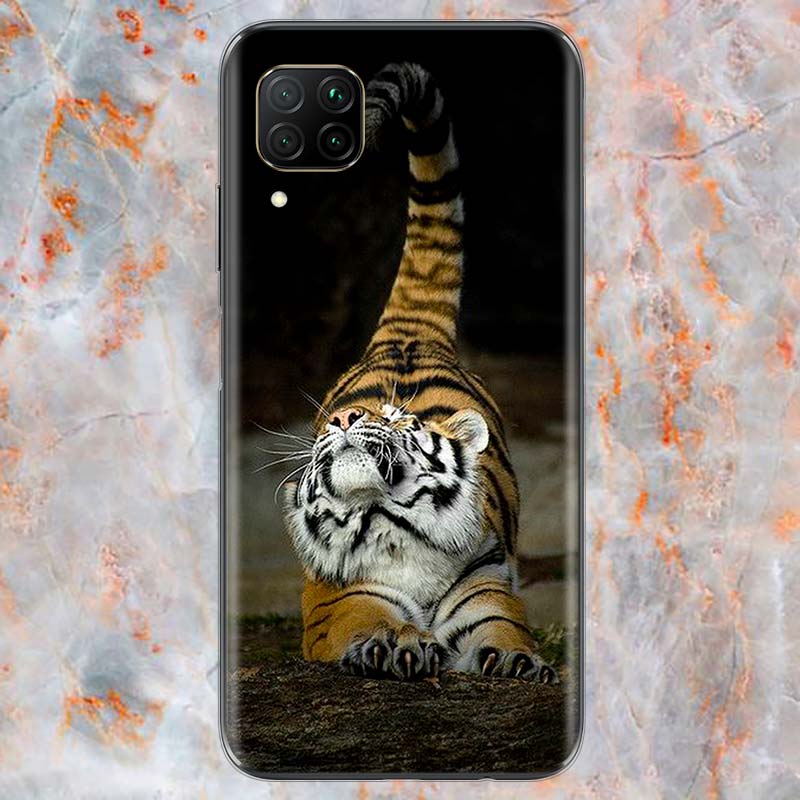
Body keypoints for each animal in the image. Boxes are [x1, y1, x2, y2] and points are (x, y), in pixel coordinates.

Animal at [282, 62, 556, 683]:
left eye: (397, 419)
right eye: (338, 421)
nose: (345, 420)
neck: (395, 529)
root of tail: (410, 336)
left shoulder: (487, 588)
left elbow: (504, 630)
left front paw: (518, 662)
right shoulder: (342, 600)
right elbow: (369, 621)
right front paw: (396, 644)